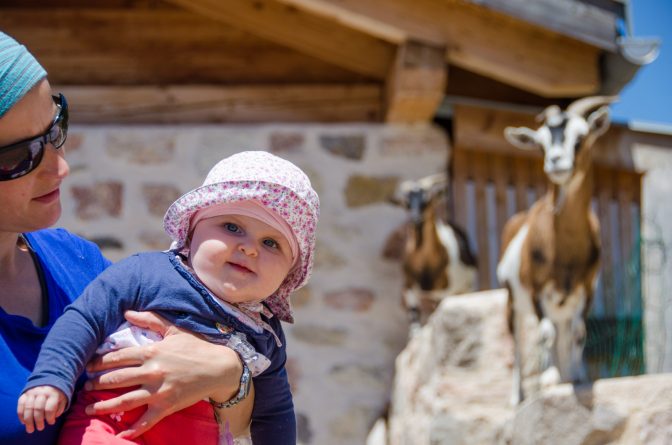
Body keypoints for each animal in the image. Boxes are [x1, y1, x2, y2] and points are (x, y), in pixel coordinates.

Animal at [388, 173, 478, 332]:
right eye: (406, 203)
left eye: (427, 200)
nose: (415, 219)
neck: (425, 267)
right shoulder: (409, 287)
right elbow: (415, 324)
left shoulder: (444, 291)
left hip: (467, 286)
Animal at [496, 95, 616, 404]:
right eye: (541, 144)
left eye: (581, 137)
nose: (555, 161)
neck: (565, 252)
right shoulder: (537, 290)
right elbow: (545, 333)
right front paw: (549, 380)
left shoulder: (586, 289)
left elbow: (578, 333)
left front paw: (576, 377)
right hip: (514, 302)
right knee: (520, 342)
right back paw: (518, 395)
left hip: (564, 304)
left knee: (563, 333)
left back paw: (566, 374)